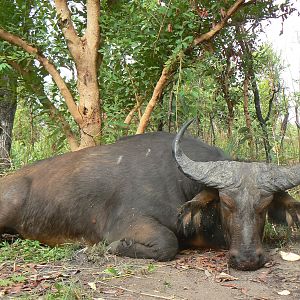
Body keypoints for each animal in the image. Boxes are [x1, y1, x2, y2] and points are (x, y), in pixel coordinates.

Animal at [0, 120, 298, 270]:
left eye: (264, 206)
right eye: (226, 203)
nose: (247, 260)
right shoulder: (130, 224)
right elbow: (167, 243)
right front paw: (112, 247)